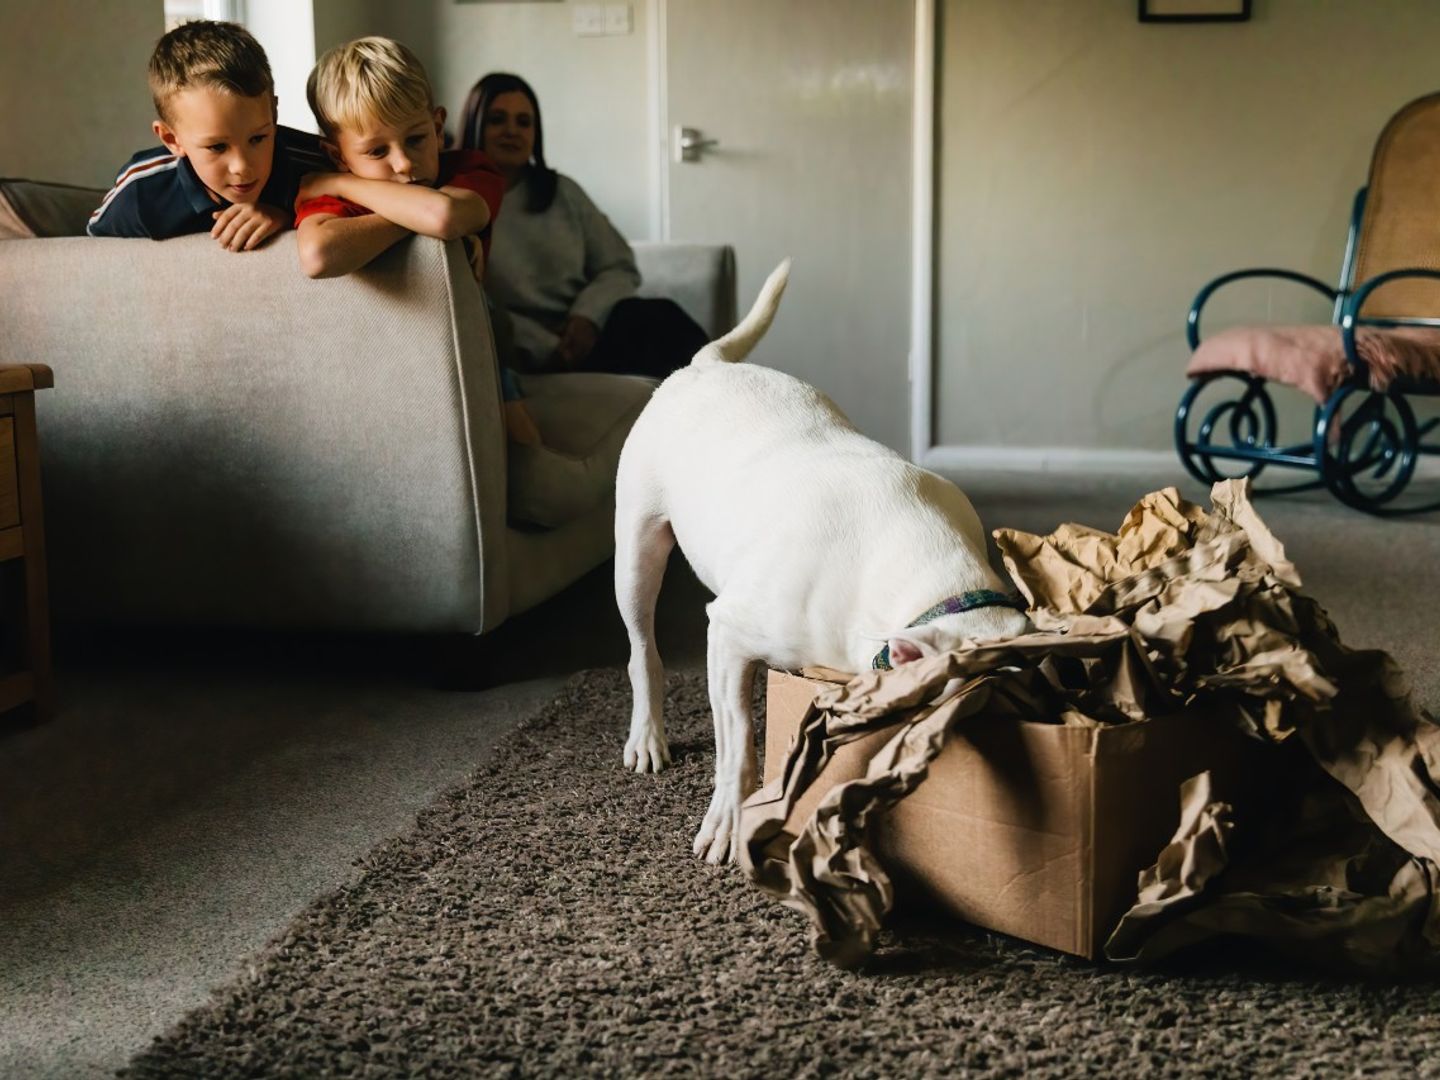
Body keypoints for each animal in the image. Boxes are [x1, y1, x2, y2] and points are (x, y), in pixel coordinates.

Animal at [613, 260, 1031, 864]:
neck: (932, 585)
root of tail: (705, 365)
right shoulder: (729, 636)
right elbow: (737, 742)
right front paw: (728, 820)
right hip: (636, 550)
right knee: (642, 644)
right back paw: (647, 734)